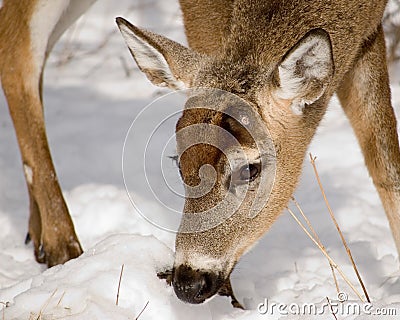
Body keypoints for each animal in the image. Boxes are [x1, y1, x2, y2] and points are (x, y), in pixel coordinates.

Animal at [0, 0, 400, 308]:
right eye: (180, 164)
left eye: (249, 169)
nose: (187, 282)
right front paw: (230, 305)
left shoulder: (370, 27)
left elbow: (386, 162)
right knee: (16, 48)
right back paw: (62, 247)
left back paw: (37, 233)